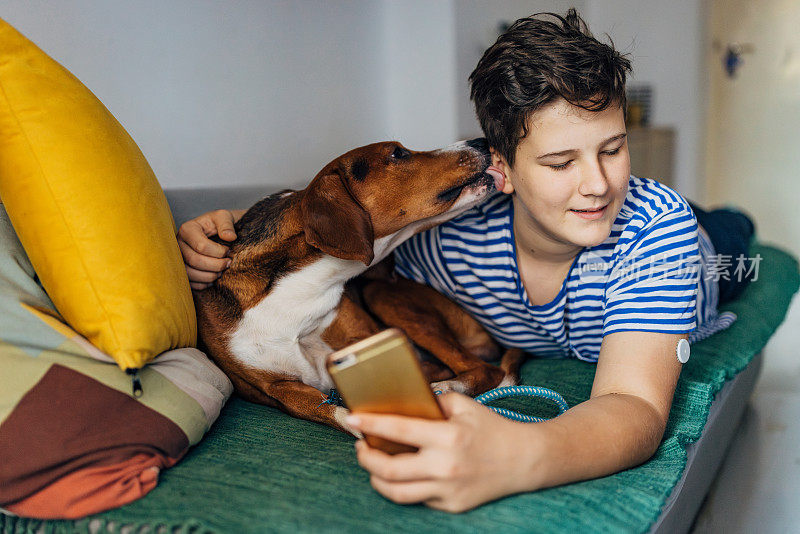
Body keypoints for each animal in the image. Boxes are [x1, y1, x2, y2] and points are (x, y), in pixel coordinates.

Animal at [192, 140, 520, 434]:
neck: (299, 289)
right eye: (398, 153)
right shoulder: (280, 389)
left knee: (484, 369)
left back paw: (446, 387)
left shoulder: (371, 341)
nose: (481, 141)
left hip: (382, 294)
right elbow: (338, 412)